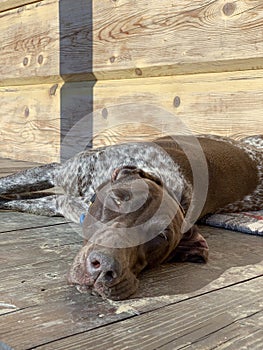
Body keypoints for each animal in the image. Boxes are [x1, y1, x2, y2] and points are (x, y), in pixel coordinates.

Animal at [0, 134, 262, 298]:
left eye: (160, 237)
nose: (103, 269)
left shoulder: (57, 201)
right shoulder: (54, 172)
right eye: (117, 199)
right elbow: (9, 186)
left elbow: (32, 200)